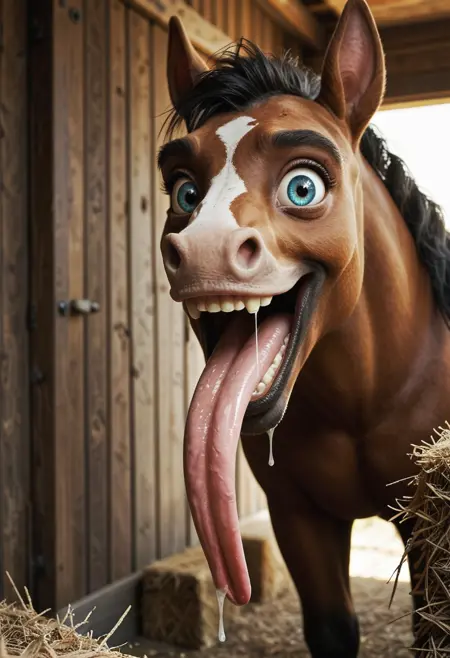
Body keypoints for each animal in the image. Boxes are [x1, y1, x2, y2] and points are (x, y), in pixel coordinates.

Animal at [159, 0, 450, 655]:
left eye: (303, 185)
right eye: (185, 192)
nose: (202, 249)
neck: (362, 401)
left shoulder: (425, 524)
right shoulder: (298, 516)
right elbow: (334, 630)